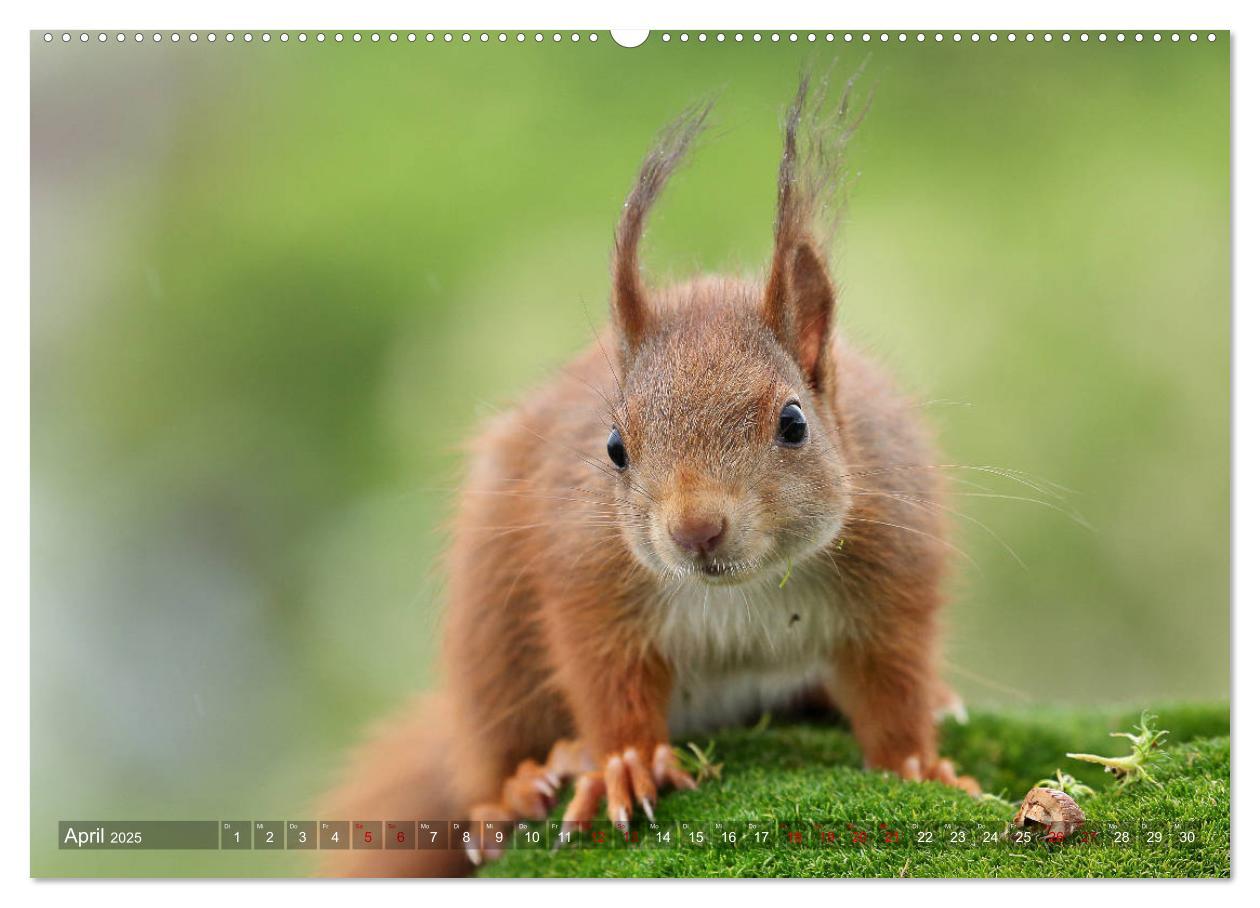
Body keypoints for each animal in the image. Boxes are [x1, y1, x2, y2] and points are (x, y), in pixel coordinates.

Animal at [322, 76, 972, 871]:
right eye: (613, 447)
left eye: (794, 423)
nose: (696, 529)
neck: (745, 592)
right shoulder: (589, 577)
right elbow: (607, 681)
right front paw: (624, 766)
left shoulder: (894, 567)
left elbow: (893, 682)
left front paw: (919, 762)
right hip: (488, 640)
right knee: (489, 746)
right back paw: (516, 790)